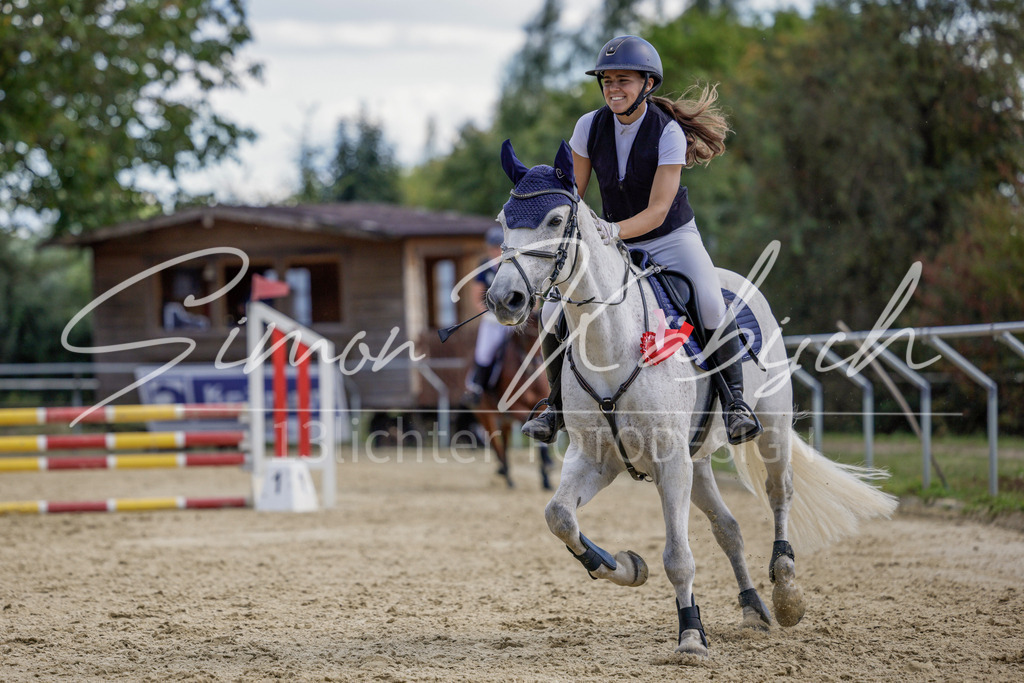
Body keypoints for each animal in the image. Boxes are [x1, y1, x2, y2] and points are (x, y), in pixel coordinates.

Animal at [471, 317, 553, 490]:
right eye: (528, 336)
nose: (537, 363)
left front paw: (546, 477)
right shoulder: (512, 407)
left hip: (505, 421)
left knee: (505, 444)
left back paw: (505, 471)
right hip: (486, 416)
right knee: (496, 445)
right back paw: (507, 475)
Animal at [485, 139, 897, 657]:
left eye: (556, 221)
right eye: (503, 220)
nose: (505, 299)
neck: (611, 343)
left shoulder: (669, 459)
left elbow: (678, 556)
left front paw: (690, 635)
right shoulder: (597, 458)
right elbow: (559, 516)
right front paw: (621, 566)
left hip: (770, 431)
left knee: (779, 493)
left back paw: (785, 592)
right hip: (697, 460)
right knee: (729, 528)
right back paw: (753, 608)